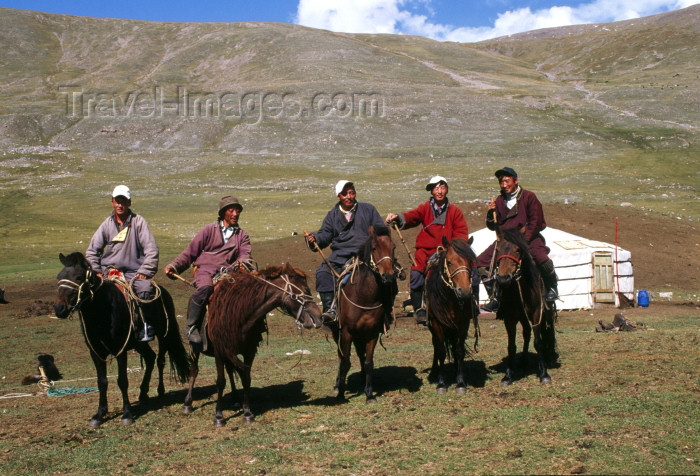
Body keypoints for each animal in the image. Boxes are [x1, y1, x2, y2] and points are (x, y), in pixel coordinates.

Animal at [52, 253, 191, 428]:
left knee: (160, 360)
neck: (101, 312)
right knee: (150, 358)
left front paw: (127, 414)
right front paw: (100, 414)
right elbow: (102, 382)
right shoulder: (96, 352)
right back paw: (143, 393)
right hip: (139, 343)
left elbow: (122, 380)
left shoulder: (120, 349)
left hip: (164, 335)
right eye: (59, 277)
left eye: (78, 277)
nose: (59, 308)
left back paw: (160, 391)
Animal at [180, 262, 322, 426]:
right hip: (196, 347)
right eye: (305, 289)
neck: (240, 312)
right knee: (194, 370)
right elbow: (220, 381)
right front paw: (219, 416)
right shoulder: (219, 350)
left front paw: (247, 413)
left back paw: (235, 398)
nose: (319, 318)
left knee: (230, 370)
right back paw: (187, 403)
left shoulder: (249, 350)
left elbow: (246, 378)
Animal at [330, 225, 396, 404]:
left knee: (360, 354)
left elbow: (368, 362)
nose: (388, 276)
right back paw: (337, 384)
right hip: (338, 334)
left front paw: (369, 394)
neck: (365, 297)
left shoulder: (372, 332)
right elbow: (345, 362)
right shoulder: (346, 332)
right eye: (374, 248)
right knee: (340, 357)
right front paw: (340, 394)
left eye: (393, 248)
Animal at [424, 235, 478, 394]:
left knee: (453, 346)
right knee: (436, 345)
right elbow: (441, 351)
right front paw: (441, 384)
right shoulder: (437, 324)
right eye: (449, 262)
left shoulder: (463, 324)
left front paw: (460, 382)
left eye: (470, 262)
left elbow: (459, 350)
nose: (464, 292)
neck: (449, 299)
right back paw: (434, 371)